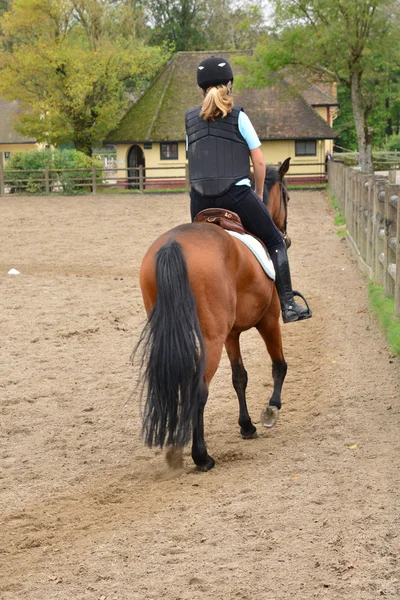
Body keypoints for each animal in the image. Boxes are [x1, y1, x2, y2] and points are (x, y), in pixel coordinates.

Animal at [133, 165, 290, 474]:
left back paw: (176, 448)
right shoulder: (268, 318)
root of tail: (173, 244)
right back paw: (201, 456)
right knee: (198, 388)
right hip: (213, 339)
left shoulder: (231, 334)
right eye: (287, 197)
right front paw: (271, 410)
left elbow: (239, 377)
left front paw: (247, 426)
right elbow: (279, 365)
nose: (286, 235)